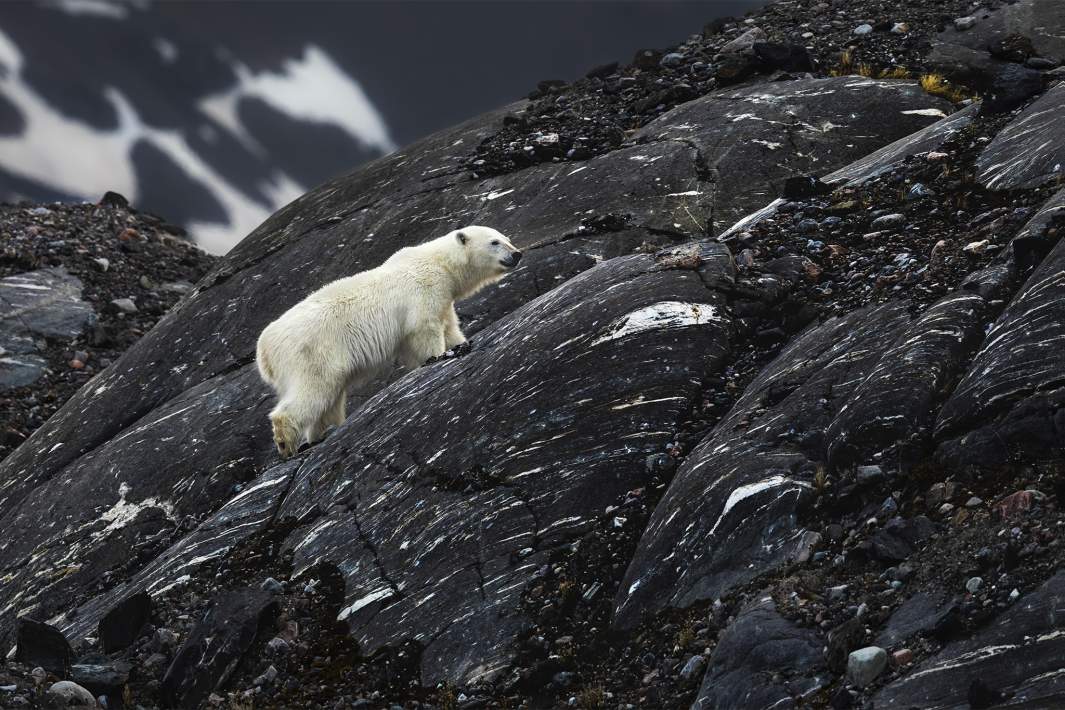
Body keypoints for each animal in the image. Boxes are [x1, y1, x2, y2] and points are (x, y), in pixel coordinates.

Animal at [256, 225, 522, 459]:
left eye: (507, 238)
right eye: (494, 242)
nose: (517, 253)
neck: (439, 264)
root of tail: (264, 350)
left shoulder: (443, 301)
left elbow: (448, 329)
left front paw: (458, 344)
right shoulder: (424, 292)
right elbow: (425, 330)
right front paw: (440, 356)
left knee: (329, 399)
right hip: (312, 351)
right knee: (314, 389)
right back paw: (286, 442)